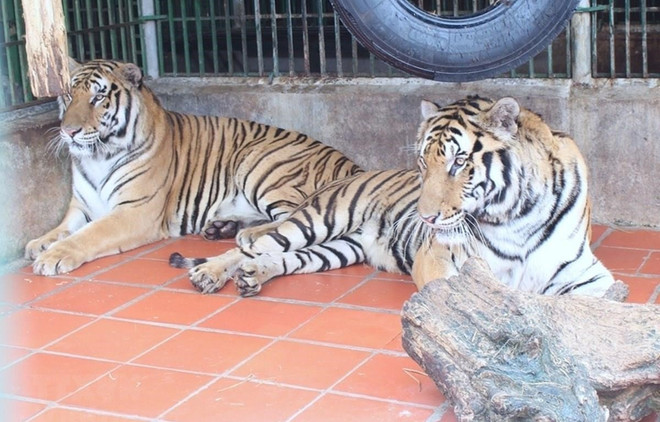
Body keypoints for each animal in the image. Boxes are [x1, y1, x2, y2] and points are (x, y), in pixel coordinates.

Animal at [24, 59, 361, 276]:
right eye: (69, 95)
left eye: (98, 97)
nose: (69, 131)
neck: (97, 156)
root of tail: (353, 165)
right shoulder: (82, 206)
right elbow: (63, 228)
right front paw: (38, 244)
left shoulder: (135, 211)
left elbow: (89, 234)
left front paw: (54, 256)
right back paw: (222, 227)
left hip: (259, 164)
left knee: (295, 217)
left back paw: (247, 234)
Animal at [171, 95, 624, 301]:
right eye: (423, 162)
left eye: (460, 161)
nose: (425, 220)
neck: (517, 217)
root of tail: (349, 174)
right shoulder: (443, 258)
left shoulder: (586, 272)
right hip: (318, 219)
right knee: (254, 243)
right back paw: (210, 273)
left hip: (338, 249)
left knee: (279, 257)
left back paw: (252, 277)